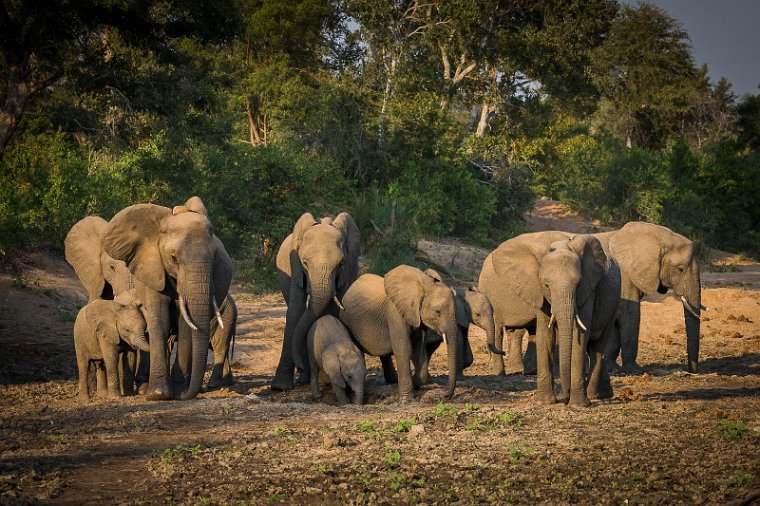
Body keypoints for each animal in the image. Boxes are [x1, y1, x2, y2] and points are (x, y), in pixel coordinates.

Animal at [102, 197, 232, 400]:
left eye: (215, 257)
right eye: (173, 258)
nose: (186, 395)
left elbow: (185, 323)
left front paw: (178, 391)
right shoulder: (151, 268)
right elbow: (158, 318)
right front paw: (158, 394)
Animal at [270, 211, 360, 390]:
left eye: (341, 264)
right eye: (305, 262)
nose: (299, 366)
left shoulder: (348, 271)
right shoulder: (295, 269)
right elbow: (296, 312)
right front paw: (280, 387)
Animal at [342, 264, 460, 400]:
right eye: (437, 312)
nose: (445, 396)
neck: (424, 285)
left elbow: (419, 350)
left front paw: (415, 383)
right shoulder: (395, 312)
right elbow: (404, 349)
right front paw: (406, 400)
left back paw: (393, 380)